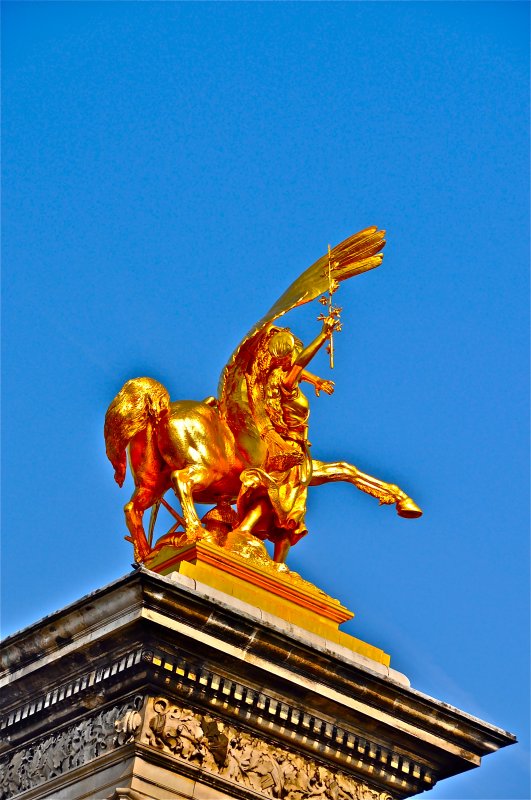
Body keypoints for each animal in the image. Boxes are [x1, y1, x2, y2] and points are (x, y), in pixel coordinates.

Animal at [104, 225, 422, 564]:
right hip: (205, 468)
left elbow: (344, 468)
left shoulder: (299, 468)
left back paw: (148, 552)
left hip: (152, 477)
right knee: (182, 482)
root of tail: (161, 409)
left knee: (133, 506)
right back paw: (198, 534)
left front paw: (401, 499)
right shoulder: (287, 469)